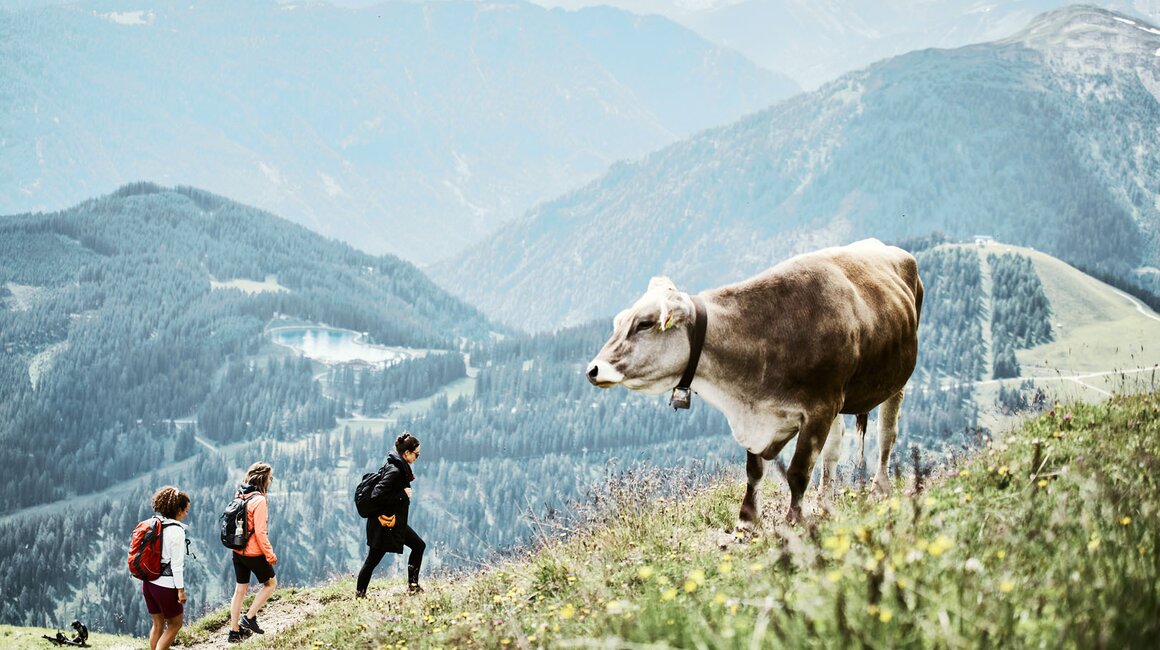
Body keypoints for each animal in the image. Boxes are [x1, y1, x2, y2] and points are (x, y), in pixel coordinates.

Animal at [585, 238, 924, 529]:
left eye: (644, 324)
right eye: (619, 321)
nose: (593, 369)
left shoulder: (820, 408)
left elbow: (798, 472)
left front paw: (792, 521)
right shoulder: (759, 410)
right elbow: (754, 470)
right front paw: (747, 520)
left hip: (896, 381)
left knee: (887, 434)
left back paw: (880, 489)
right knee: (834, 449)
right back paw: (826, 504)